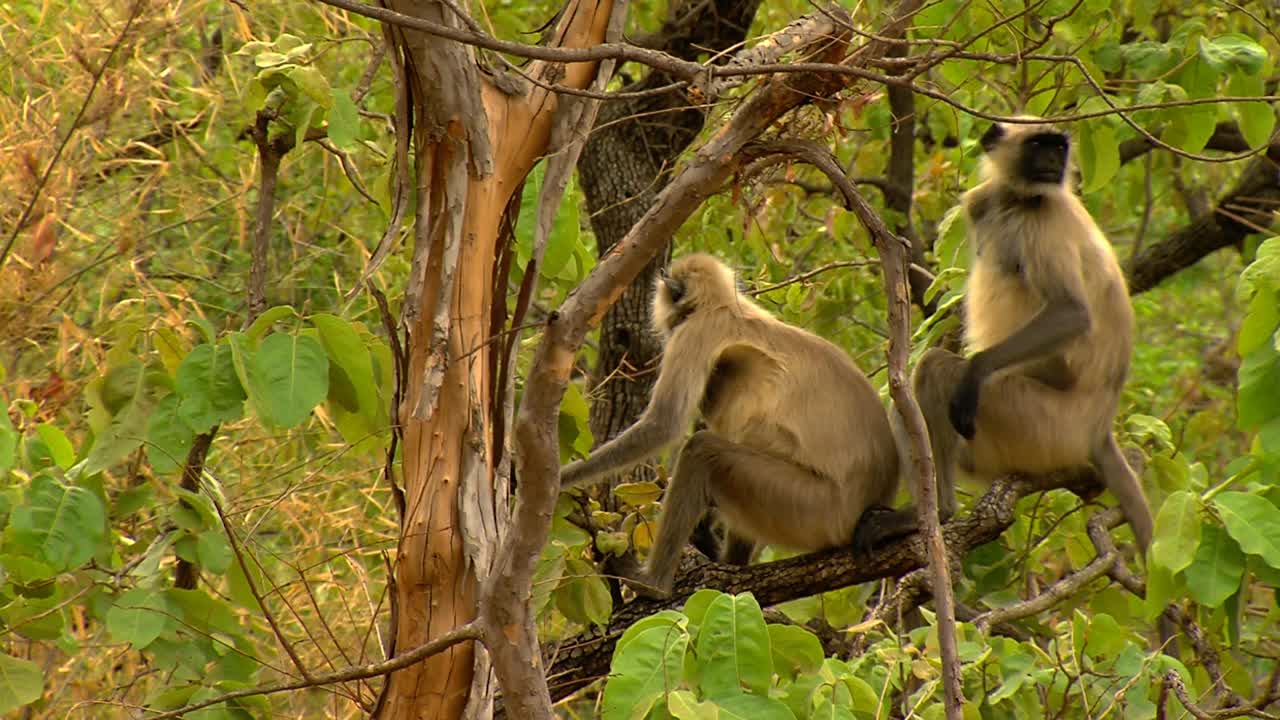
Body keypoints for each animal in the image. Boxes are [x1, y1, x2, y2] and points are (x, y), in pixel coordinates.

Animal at [563, 252, 911, 594]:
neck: (722, 305)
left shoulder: (694, 332)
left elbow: (664, 424)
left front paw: (560, 479)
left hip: (813, 507)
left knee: (703, 449)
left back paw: (653, 585)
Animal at [896, 117, 1157, 545]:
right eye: (1039, 146)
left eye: (1058, 148)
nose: (1053, 161)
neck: (1014, 200)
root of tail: (1098, 427)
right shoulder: (981, 202)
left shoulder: (1044, 215)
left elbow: (1071, 312)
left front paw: (974, 370)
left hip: (1038, 422)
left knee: (934, 369)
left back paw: (942, 511)